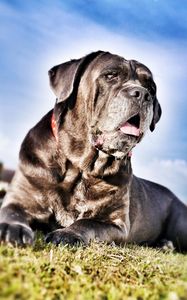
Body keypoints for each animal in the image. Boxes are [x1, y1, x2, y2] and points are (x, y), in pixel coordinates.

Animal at [0, 51, 187, 251]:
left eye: (151, 88)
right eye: (110, 75)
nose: (143, 94)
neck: (80, 167)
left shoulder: (114, 222)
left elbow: (87, 223)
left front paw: (67, 234)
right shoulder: (19, 198)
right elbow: (12, 212)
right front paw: (12, 228)